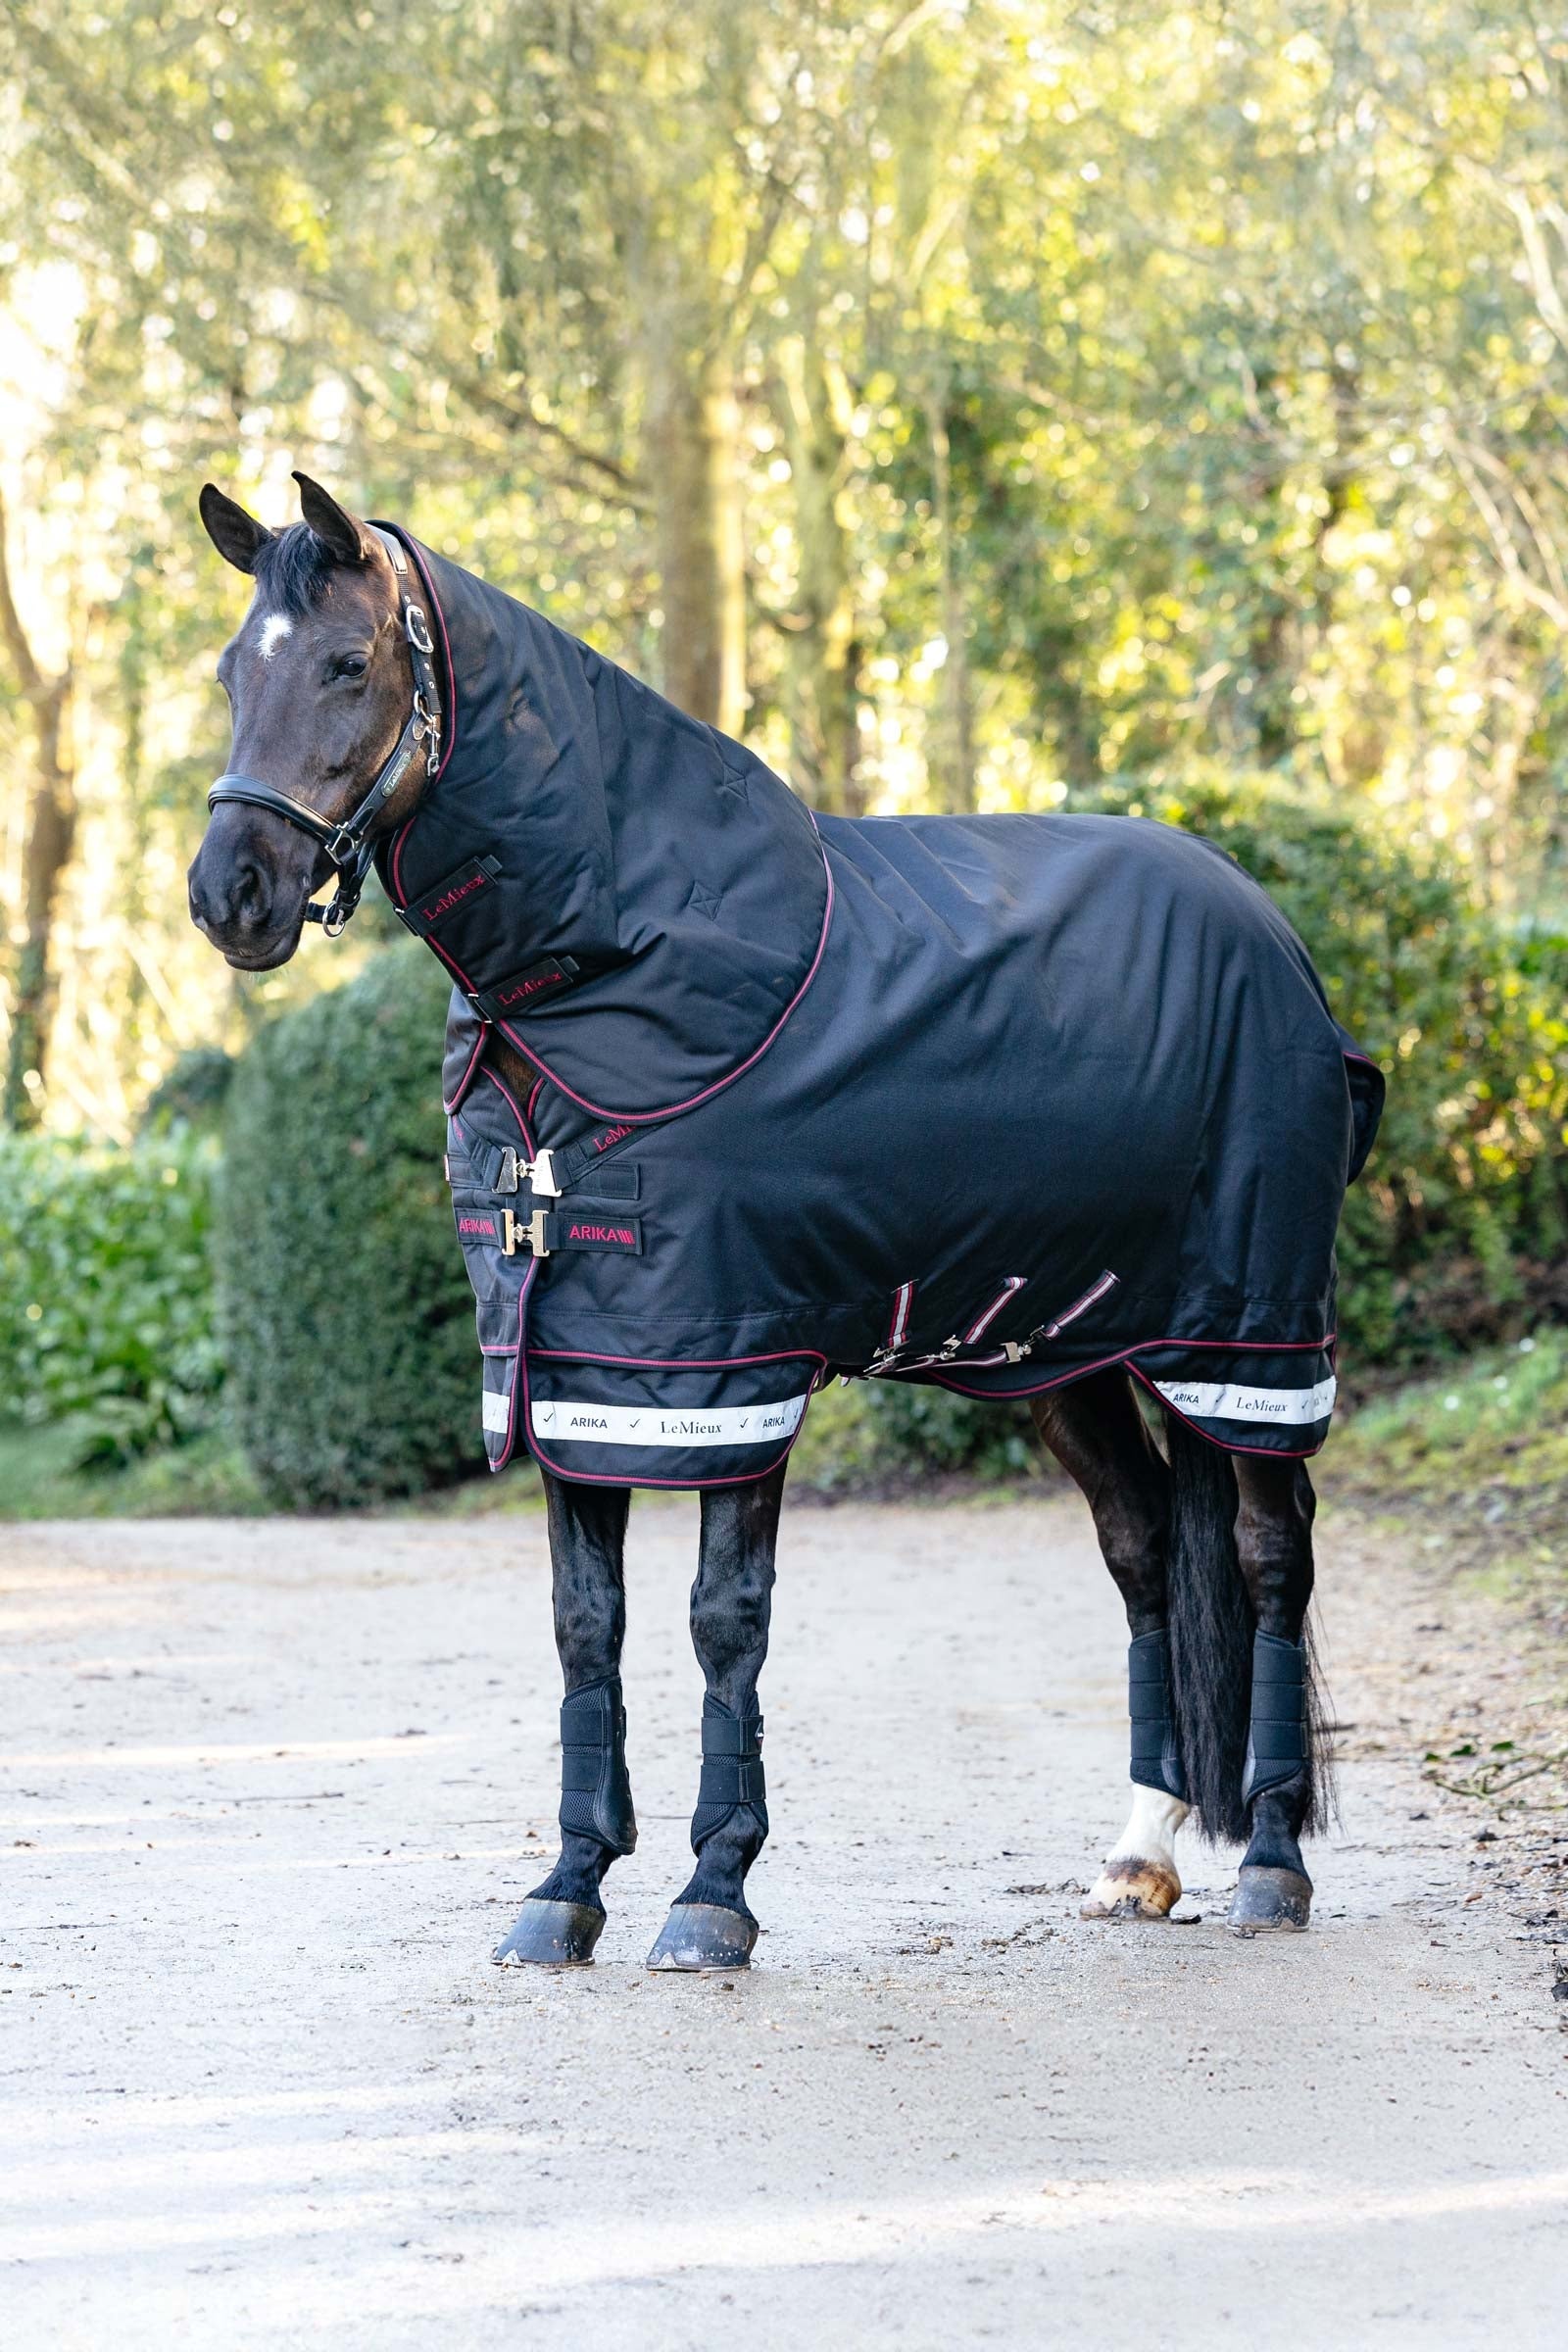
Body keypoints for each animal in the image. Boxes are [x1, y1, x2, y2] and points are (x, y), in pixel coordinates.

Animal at [187, 472, 1381, 1970]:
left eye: (349, 663)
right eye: (232, 672)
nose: (229, 893)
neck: (620, 963)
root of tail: (1274, 935)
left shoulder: (732, 1365)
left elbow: (720, 1621)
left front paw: (711, 1894)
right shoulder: (570, 1372)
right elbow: (585, 1625)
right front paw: (566, 1888)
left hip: (1246, 1340)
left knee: (1275, 1555)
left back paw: (1273, 1862)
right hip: (1071, 1354)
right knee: (1149, 1548)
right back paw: (1140, 1851)